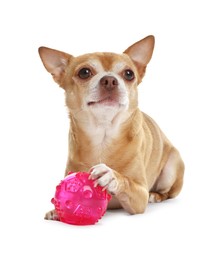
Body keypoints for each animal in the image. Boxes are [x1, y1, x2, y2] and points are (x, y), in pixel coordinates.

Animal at [38, 35, 185, 219]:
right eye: (84, 72)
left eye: (129, 74)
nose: (109, 80)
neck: (103, 134)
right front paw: (55, 210)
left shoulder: (140, 195)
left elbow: (127, 182)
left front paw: (111, 176)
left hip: (171, 166)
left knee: (168, 192)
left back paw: (156, 195)